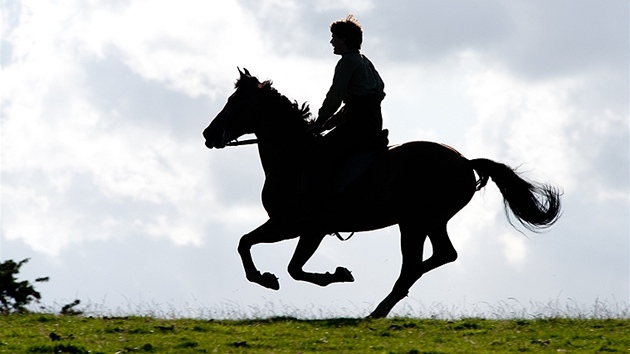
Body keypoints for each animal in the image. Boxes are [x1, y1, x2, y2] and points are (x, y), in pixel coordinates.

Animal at [204, 69, 564, 318]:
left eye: (235, 103)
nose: (209, 134)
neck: (294, 156)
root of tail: (464, 162)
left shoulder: (298, 225)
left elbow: (268, 255)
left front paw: (275, 278)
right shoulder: (301, 228)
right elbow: (262, 251)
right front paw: (307, 276)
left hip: (413, 222)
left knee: (414, 263)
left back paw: (379, 308)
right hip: (431, 221)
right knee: (441, 255)